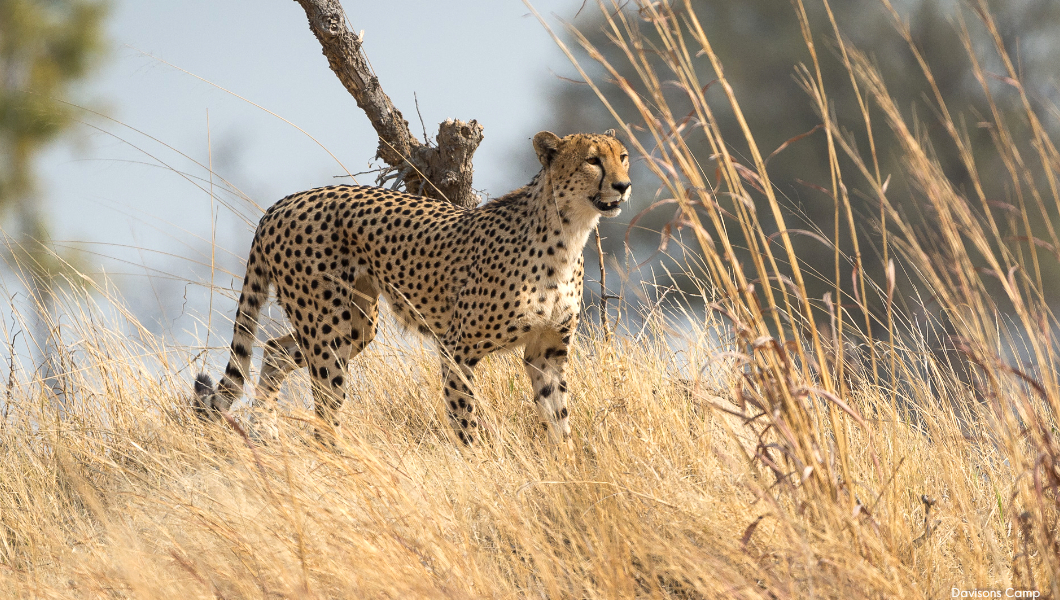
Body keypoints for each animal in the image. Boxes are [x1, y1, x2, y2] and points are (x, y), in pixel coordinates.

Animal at [192, 131, 627, 445]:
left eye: (622, 156)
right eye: (592, 160)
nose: (624, 185)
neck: (568, 232)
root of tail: (281, 204)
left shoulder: (547, 350)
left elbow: (559, 419)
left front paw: (568, 472)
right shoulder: (457, 349)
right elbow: (465, 421)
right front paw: (480, 468)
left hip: (356, 323)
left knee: (275, 350)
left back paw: (264, 430)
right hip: (328, 326)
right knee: (326, 404)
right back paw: (332, 461)